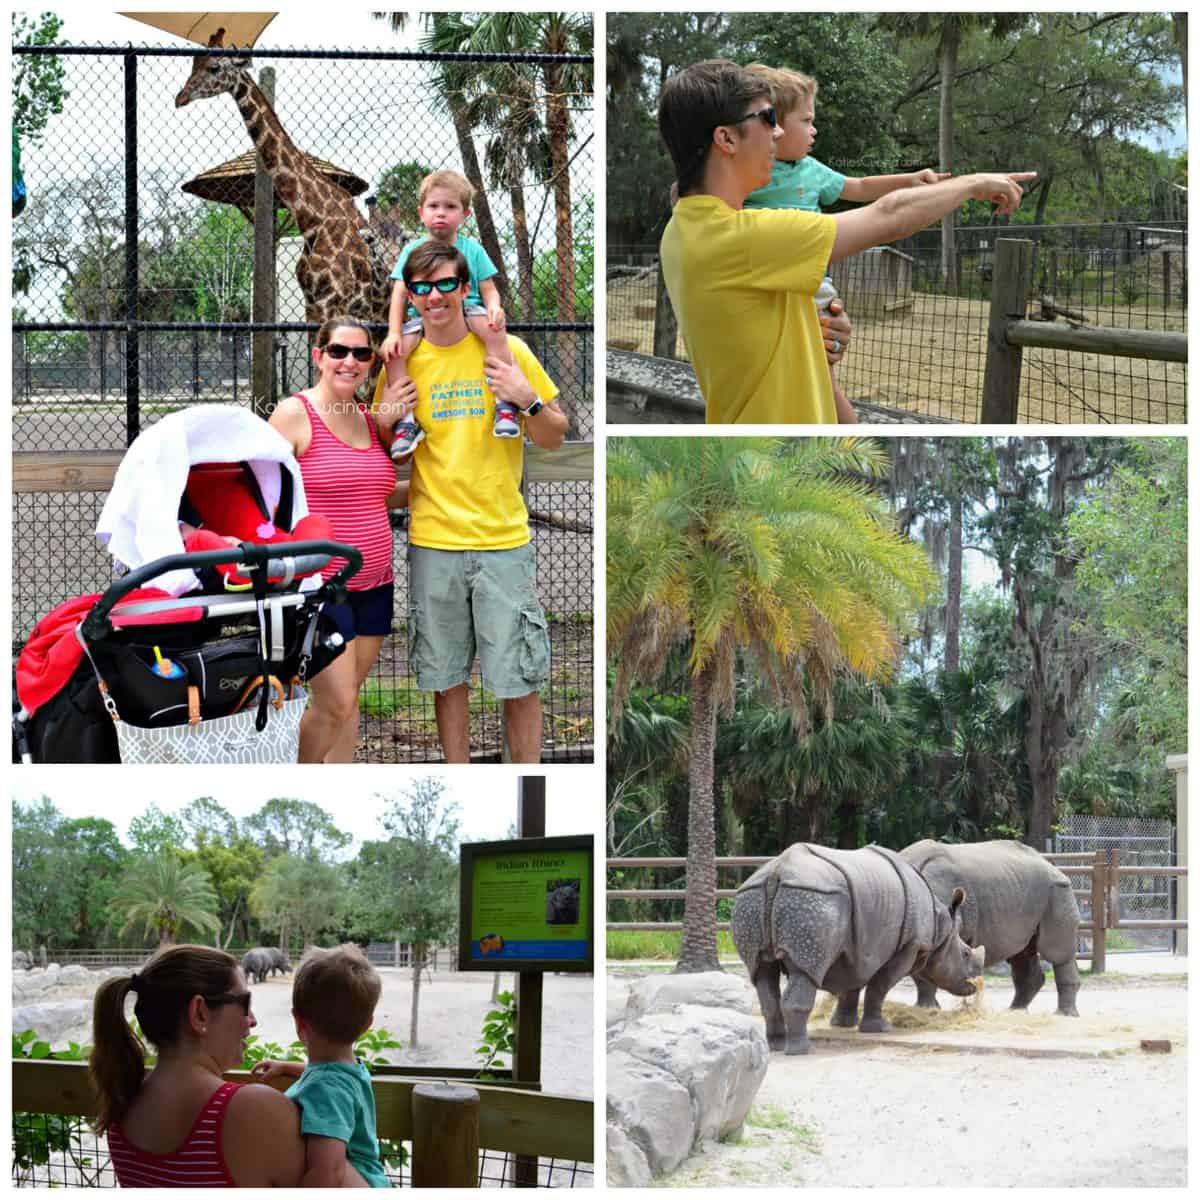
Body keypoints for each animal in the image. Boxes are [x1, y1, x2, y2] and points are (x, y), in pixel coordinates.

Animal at [175, 29, 388, 328]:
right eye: (194, 63)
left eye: (214, 67)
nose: (180, 97)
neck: (312, 219)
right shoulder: (313, 304)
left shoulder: (332, 302)